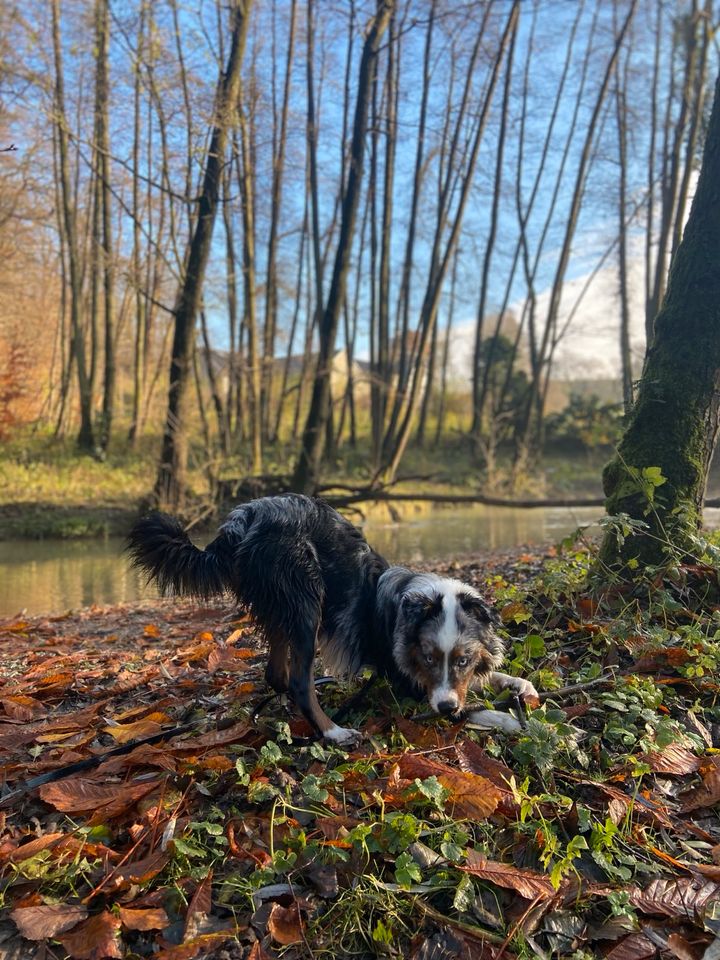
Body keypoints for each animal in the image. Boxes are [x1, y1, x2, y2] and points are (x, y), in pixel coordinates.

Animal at [128, 496, 536, 744]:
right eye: (428, 657)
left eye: (463, 660)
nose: (447, 706)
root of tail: (244, 518)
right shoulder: (409, 683)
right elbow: (474, 709)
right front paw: (513, 721)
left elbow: (495, 678)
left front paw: (522, 688)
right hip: (307, 603)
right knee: (298, 681)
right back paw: (333, 731)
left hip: (285, 610)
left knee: (276, 674)